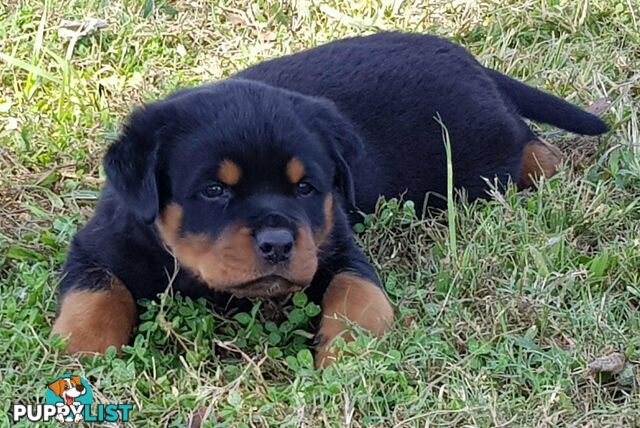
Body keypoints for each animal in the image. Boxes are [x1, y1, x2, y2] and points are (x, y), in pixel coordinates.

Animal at [52, 31, 608, 366]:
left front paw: (351, 357)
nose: (278, 244)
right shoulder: (97, 245)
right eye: (213, 190)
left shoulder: (335, 245)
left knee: (537, 150)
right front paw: (78, 357)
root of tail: (464, 55)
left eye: (305, 187)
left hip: (484, 156)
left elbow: (357, 294)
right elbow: (96, 295)